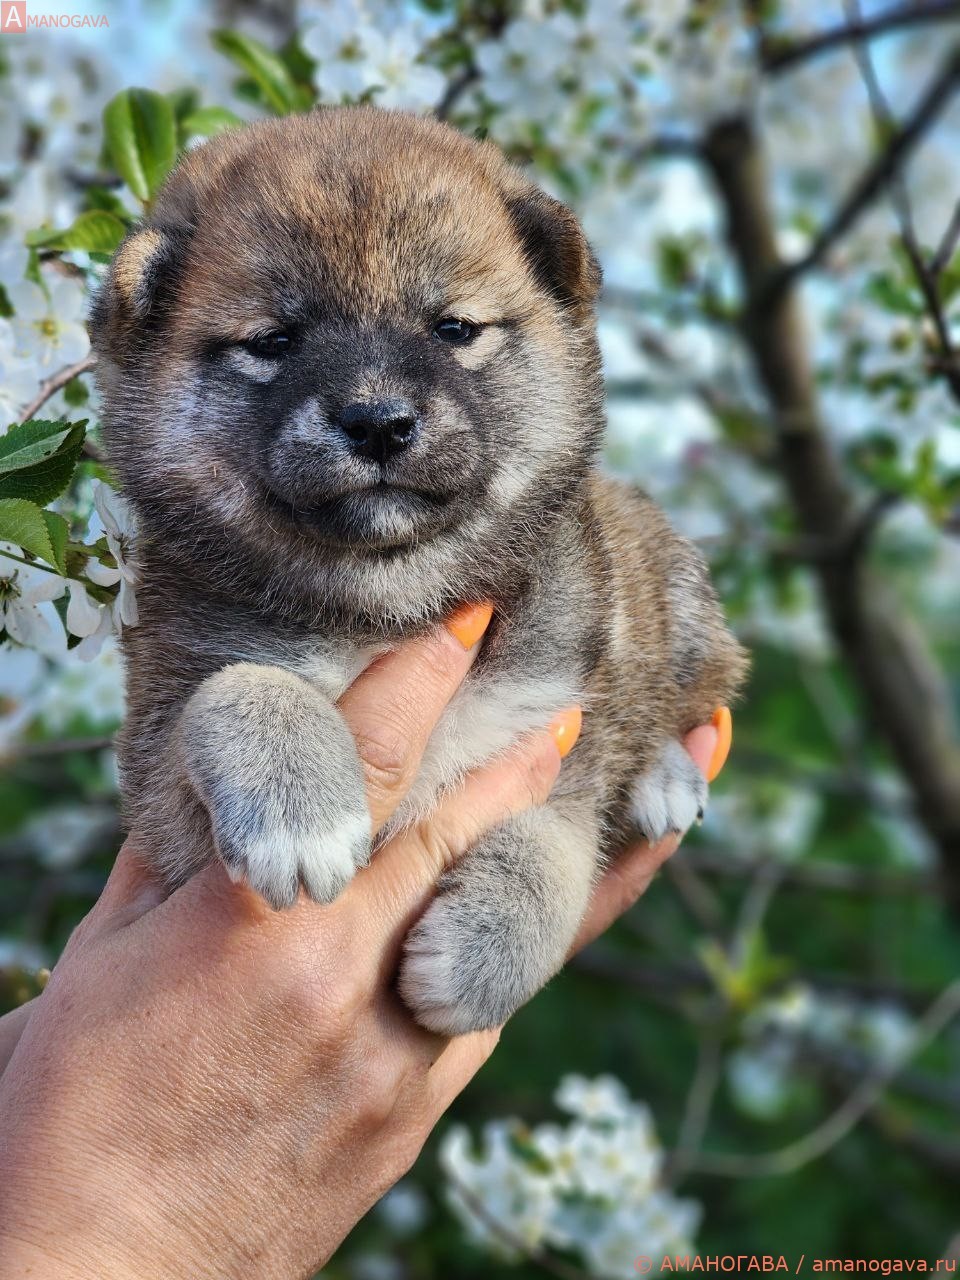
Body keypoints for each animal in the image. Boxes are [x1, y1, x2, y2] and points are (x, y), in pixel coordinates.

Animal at [90, 106, 747, 1035]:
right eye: (273, 342)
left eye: (453, 329)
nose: (377, 422)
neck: (388, 608)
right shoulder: (167, 793)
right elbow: (242, 686)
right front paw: (303, 809)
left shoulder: (550, 728)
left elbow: (555, 845)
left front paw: (486, 953)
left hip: (675, 603)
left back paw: (664, 773)